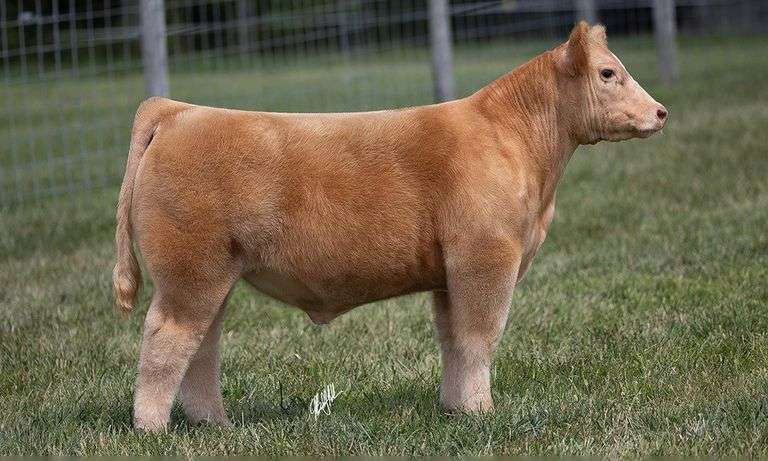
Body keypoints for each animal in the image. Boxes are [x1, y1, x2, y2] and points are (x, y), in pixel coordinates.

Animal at [113, 22, 667, 431]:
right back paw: (153, 429)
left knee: (201, 345)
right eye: (608, 73)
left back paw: (215, 424)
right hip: (191, 269)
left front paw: (456, 410)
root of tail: (179, 111)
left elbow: (452, 338)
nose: (661, 112)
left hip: (211, 274)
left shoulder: (449, 273)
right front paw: (482, 414)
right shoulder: (486, 257)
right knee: (167, 339)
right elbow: (479, 336)